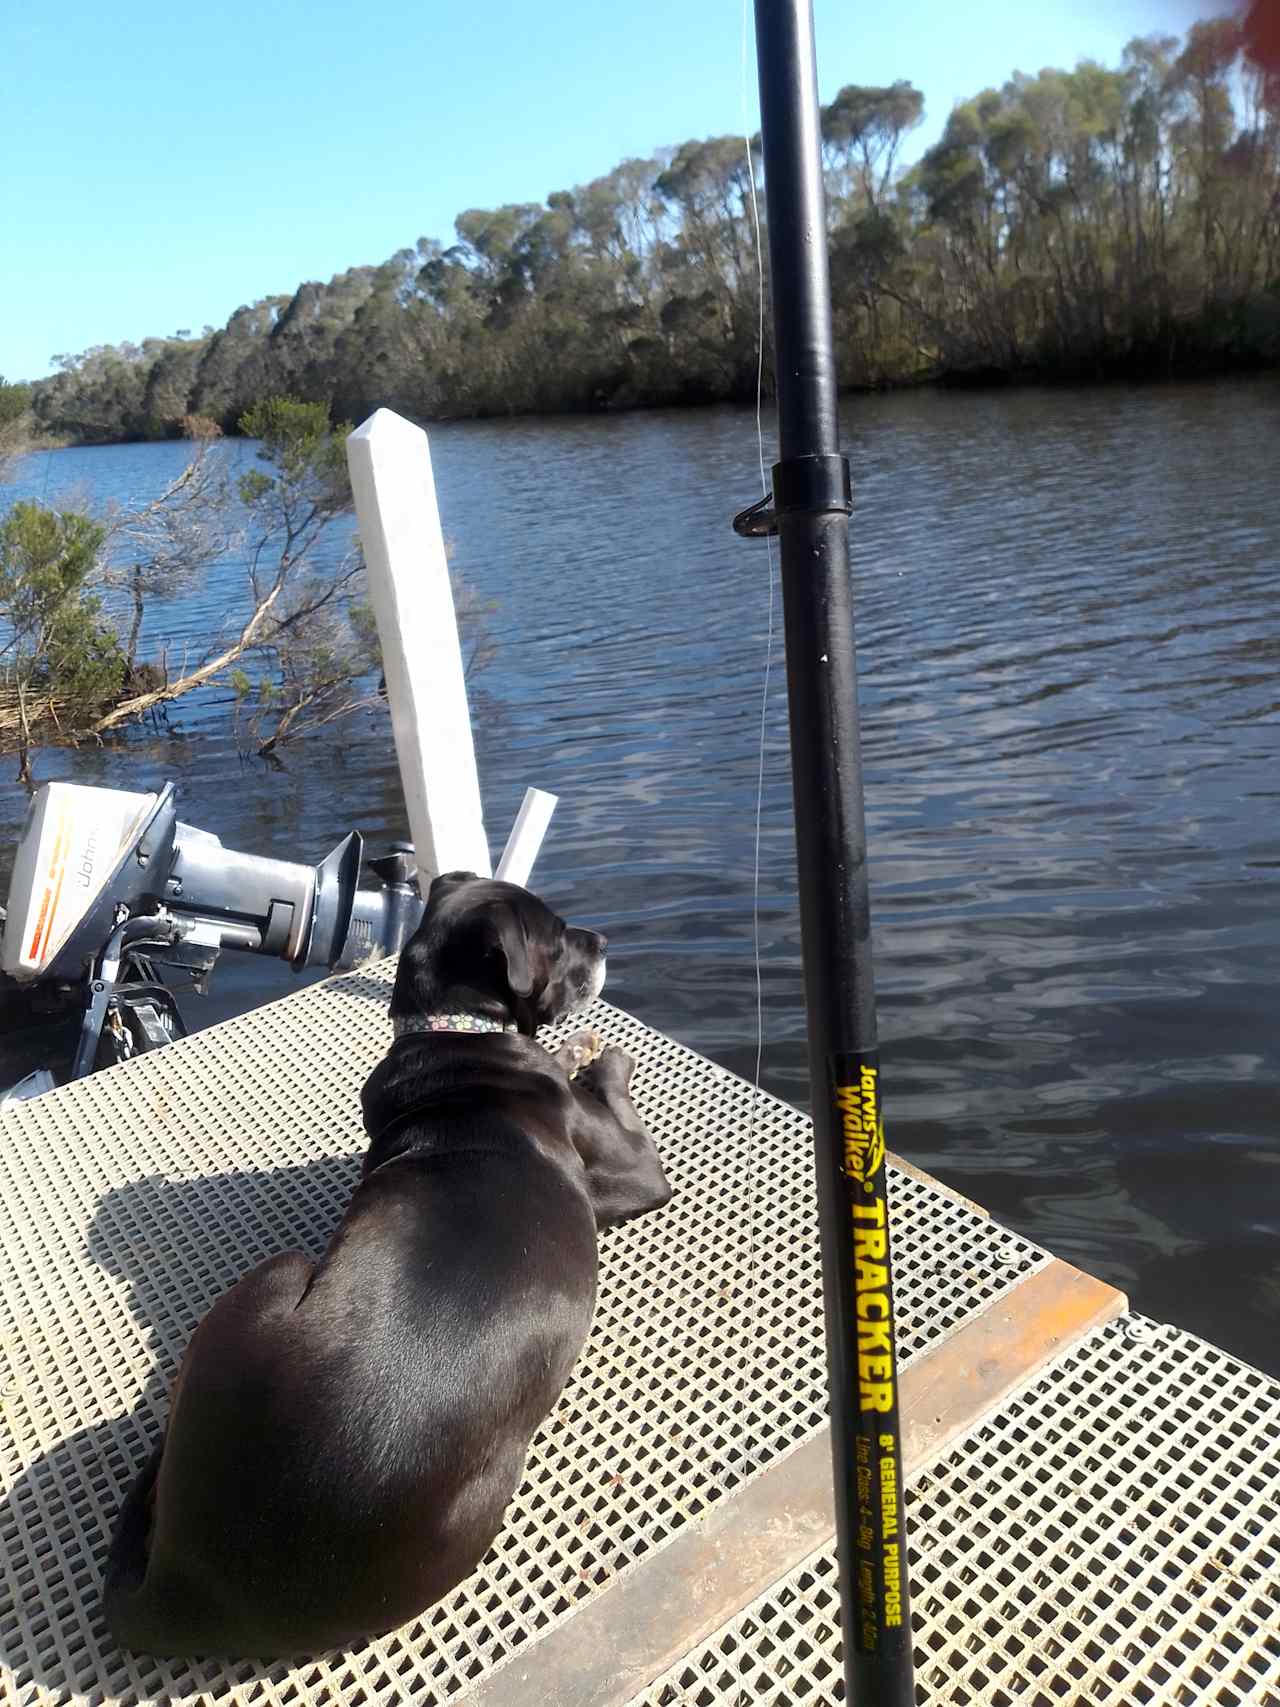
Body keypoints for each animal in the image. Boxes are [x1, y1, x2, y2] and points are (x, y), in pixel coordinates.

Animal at [105, 873, 675, 1645]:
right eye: (558, 938)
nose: (606, 942)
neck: (457, 1033)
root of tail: (184, 1583)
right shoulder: (638, 1173)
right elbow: (613, 1092)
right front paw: (597, 1055)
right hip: (294, 1281)